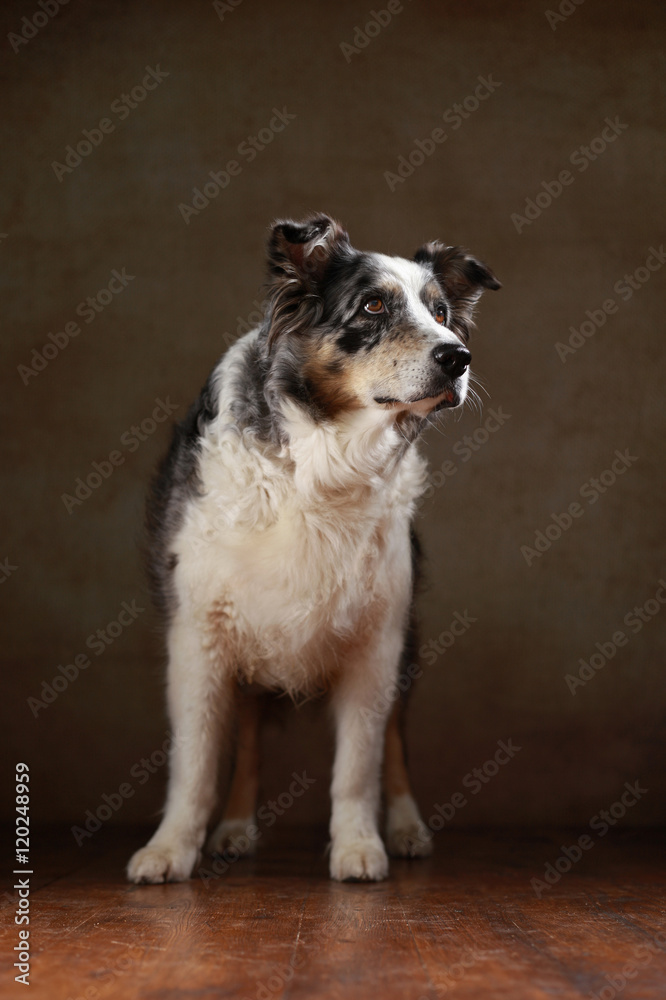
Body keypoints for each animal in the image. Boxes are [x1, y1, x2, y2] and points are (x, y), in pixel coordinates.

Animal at [126, 217, 498, 884]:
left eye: (441, 313)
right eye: (373, 306)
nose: (458, 356)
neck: (323, 463)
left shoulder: (378, 639)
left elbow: (359, 761)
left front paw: (358, 847)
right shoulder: (198, 631)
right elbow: (195, 762)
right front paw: (170, 849)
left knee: (394, 743)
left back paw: (405, 827)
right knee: (248, 738)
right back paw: (234, 829)